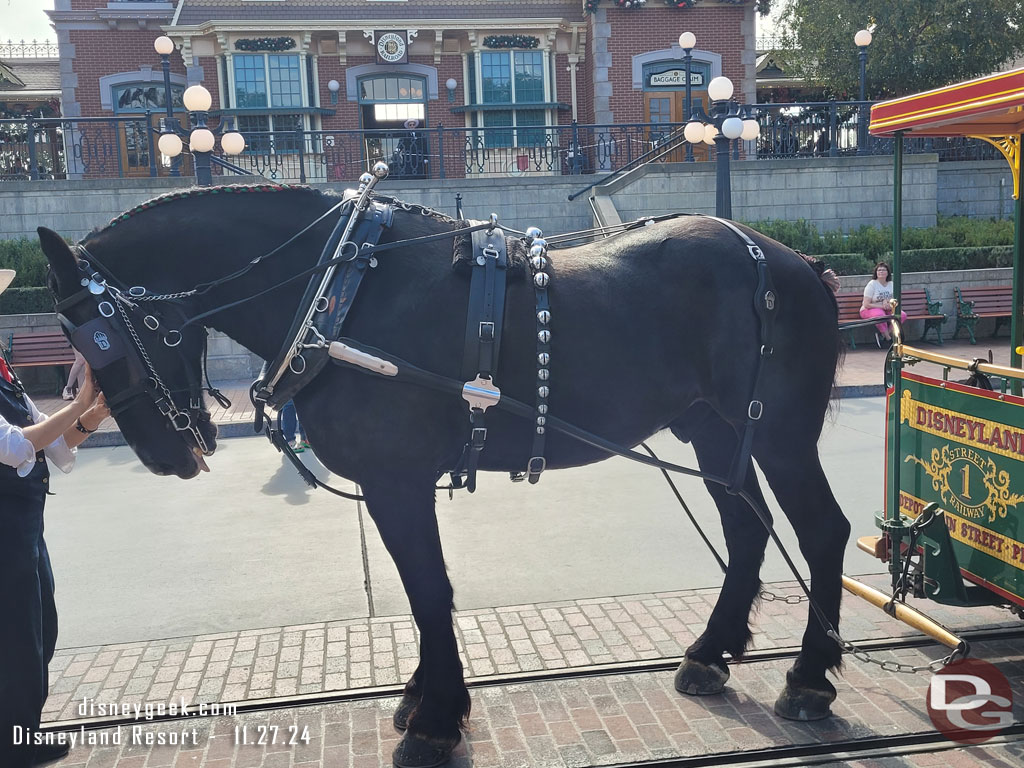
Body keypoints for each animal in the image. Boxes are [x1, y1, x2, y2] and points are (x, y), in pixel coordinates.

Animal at [37, 186, 847, 768]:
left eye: (95, 339)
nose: (169, 455)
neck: (342, 290)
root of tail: (795, 262)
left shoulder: (396, 481)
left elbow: (430, 592)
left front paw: (433, 721)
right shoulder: (398, 486)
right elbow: (422, 594)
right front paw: (423, 699)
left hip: (779, 435)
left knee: (822, 532)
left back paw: (808, 678)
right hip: (714, 429)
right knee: (747, 531)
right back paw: (710, 655)